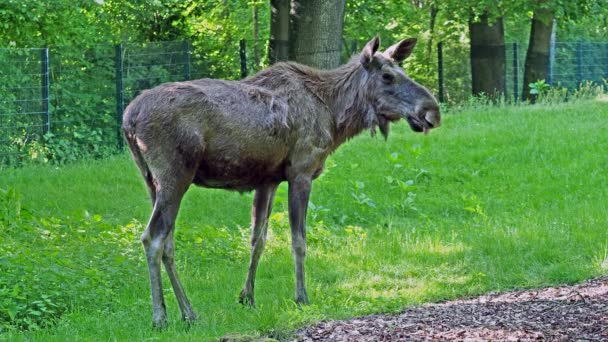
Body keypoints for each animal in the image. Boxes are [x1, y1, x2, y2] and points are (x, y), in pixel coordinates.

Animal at [121, 36, 440, 328]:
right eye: (387, 76)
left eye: (401, 70)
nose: (432, 111)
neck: (335, 117)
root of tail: (128, 120)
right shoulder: (301, 172)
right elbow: (299, 240)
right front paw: (301, 296)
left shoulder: (268, 180)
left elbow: (258, 239)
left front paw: (247, 297)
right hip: (174, 177)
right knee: (152, 237)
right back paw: (160, 317)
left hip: (153, 182)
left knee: (168, 243)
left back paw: (188, 312)